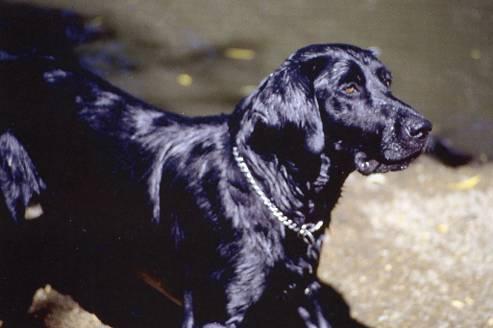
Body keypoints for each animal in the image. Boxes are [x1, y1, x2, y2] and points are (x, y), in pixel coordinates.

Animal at [0, 43, 428, 326]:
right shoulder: (216, 311)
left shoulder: (303, 294)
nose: (423, 128)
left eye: (387, 81)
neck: (275, 191)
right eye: (349, 88)